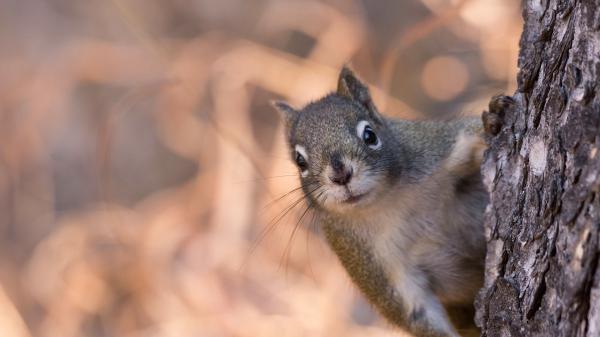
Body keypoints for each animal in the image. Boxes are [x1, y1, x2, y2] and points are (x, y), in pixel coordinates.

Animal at [274, 66, 508, 336]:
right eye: (299, 161)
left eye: (370, 135)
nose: (341, 176)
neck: (391, 201)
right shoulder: (369, 262)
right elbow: (416, 312)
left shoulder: (436, 148)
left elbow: (469, 137)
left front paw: (493, 120)